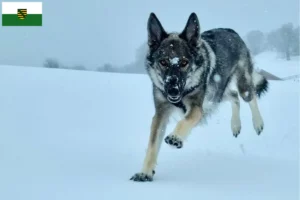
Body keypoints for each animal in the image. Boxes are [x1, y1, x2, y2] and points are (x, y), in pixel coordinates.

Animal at [130, 12, 268, 181]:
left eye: (184, 62)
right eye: (163, 62)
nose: (172, 91)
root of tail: (231, 31)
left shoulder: (197, 107)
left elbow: (186, 120)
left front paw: (176, 137)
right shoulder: (160, 114)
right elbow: (152, 145)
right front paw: (145, 172)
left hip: (241, 86)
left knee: (250, 96)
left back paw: (258, 123)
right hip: (217, 94)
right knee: (234, 96)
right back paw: (235, 125)